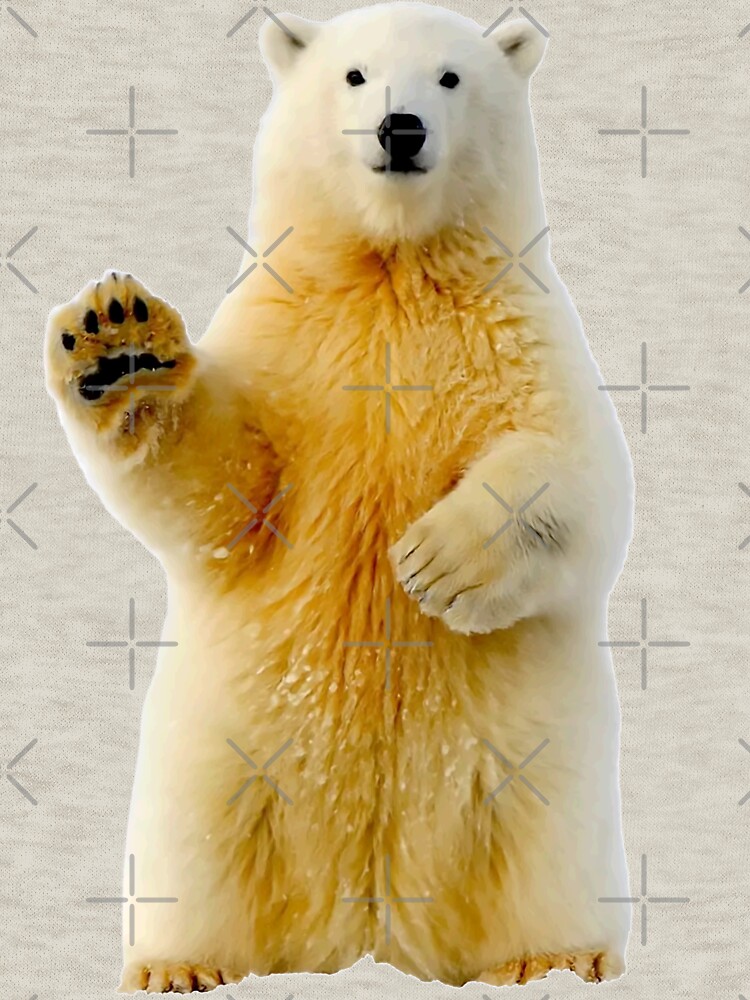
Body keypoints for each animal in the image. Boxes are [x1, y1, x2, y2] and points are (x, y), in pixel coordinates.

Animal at [44, 2, 633, 992]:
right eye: (354, 75)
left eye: (450, 77)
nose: (401, 128)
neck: (390, 267)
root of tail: (367, 928)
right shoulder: (286, 344)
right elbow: (227, 489)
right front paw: (118, 342)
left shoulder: (519, 333)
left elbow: (576, 471)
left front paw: (434, 562)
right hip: (219, 759)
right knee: (198, 856)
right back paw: (179, 964)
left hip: (534, 769)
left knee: (543, 849)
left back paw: (559, 956)